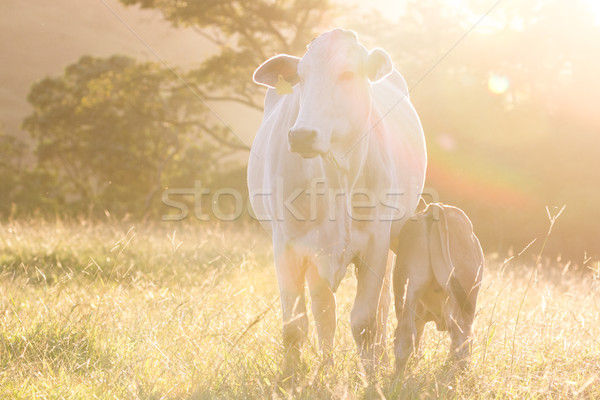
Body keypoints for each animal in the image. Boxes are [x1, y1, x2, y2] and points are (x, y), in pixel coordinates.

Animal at [247, 28, 426, 376]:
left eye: (347, 73)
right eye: (301, 76)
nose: (302, 135)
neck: (336, 177)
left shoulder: (376, 243)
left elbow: (365, 322)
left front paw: (371, 376)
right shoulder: (287, 245)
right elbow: (296, 326)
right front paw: (292, 377)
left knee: (382, 308)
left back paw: (381, 359)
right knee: (323, 313)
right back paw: (327, 367)